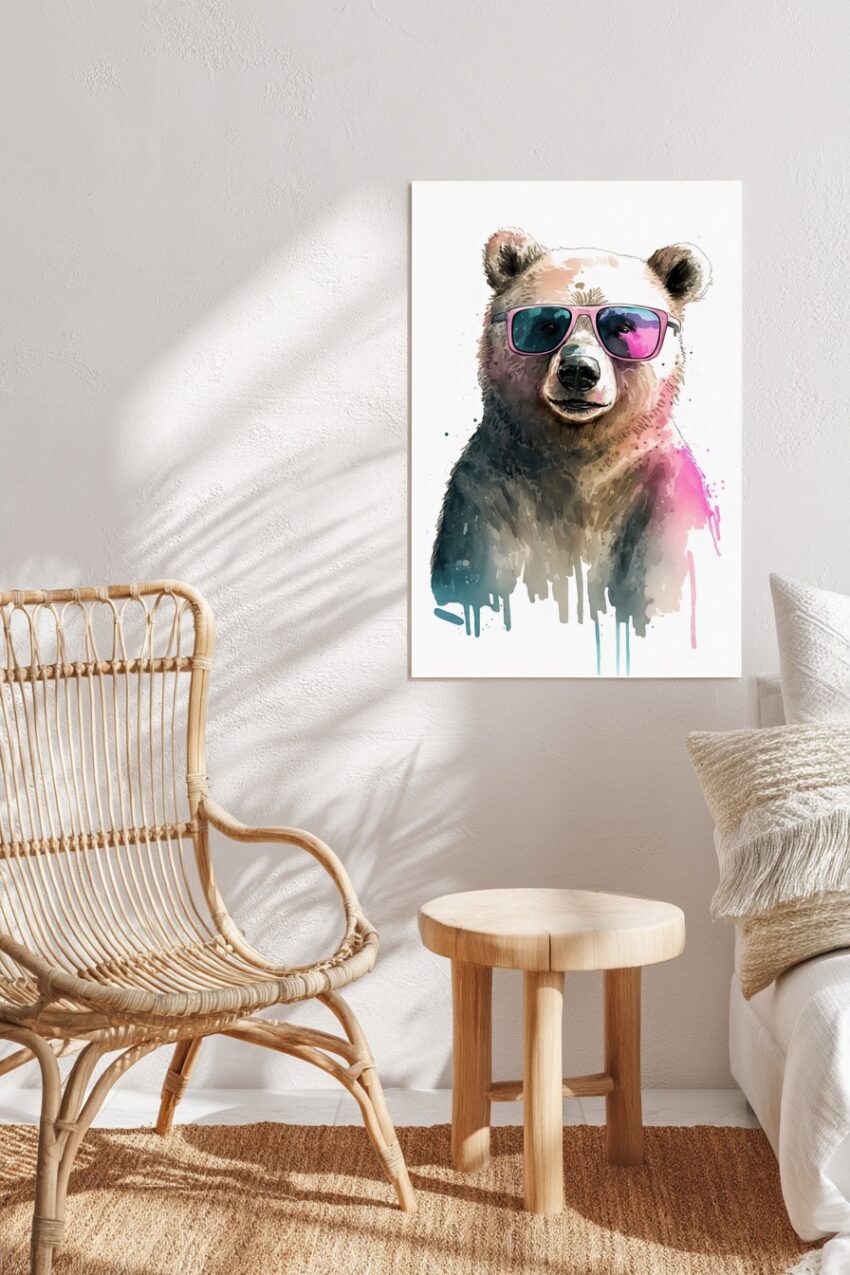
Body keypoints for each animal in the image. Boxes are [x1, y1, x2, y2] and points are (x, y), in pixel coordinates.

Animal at [431, 228, 717, 645]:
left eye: (623, 326)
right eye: (546, 324)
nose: (579, 371)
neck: (580, 455)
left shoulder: (665, 498)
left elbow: (662, 588)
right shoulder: (488, 494)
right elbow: (475, 579)